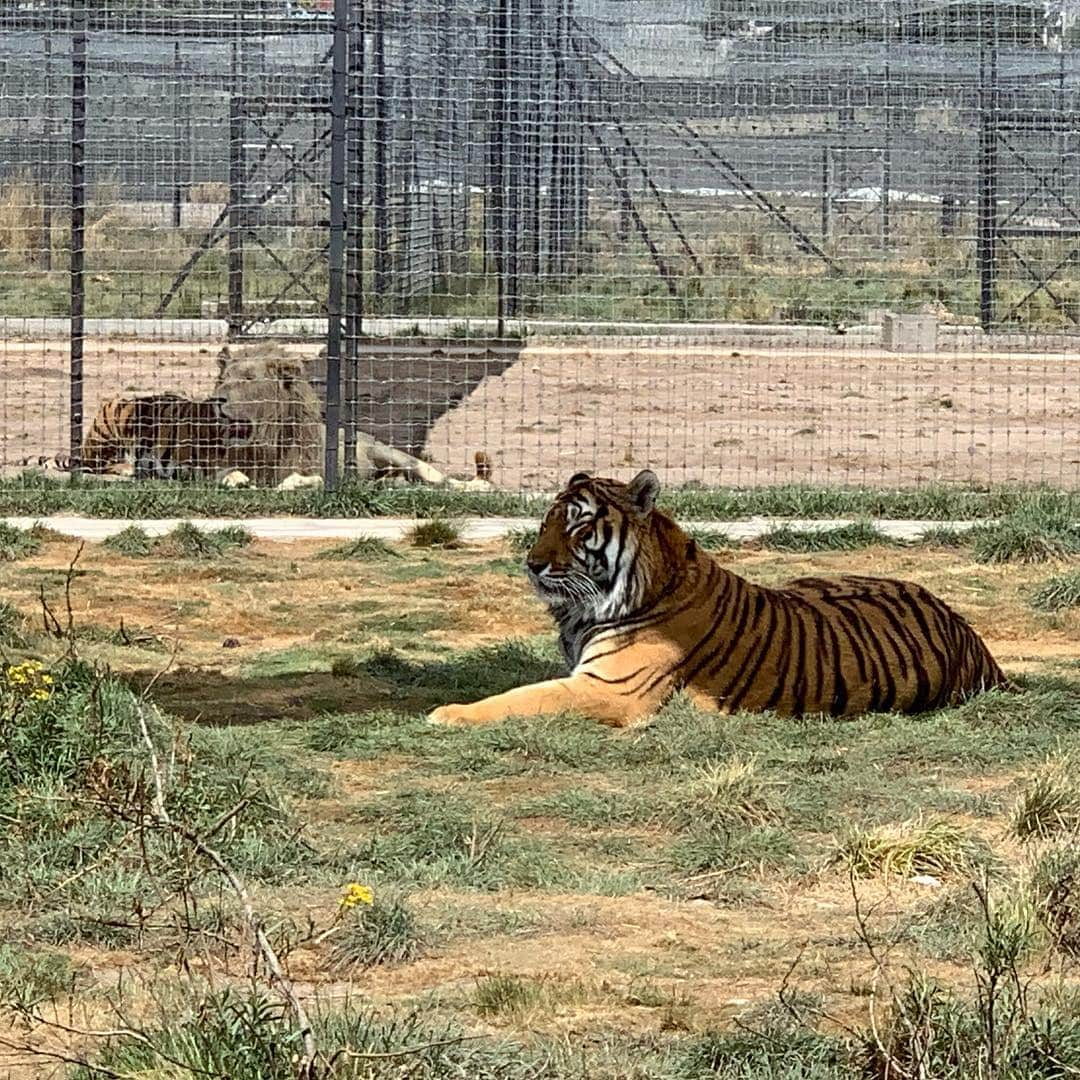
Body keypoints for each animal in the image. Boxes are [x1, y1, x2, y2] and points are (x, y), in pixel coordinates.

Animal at [425, 470, 1006, 730]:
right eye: (546, 521)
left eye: (580, 526)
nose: (532, 564)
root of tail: (970, 635)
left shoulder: (610, 689)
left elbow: (523, 698)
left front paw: (447, 712)